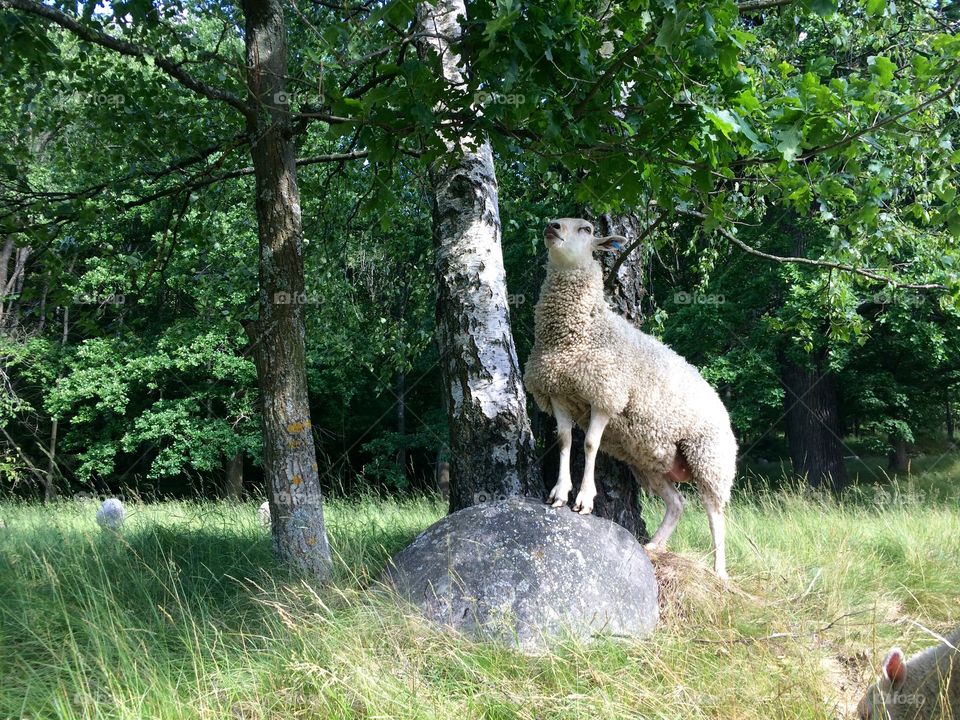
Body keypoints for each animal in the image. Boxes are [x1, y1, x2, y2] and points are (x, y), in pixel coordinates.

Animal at [523, 217, 738, 579]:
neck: (571, 338)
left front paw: (584, 500)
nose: (552, 227)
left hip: (709, 457)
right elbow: (565, 440)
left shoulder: (605, 395)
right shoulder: (557, 392)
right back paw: (653, 547)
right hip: (653, 463)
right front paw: (559, 493)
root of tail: (722, 406)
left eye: (585, 228)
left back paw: (720, 570)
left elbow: (590, 444)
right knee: (677, 504)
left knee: (715, 513)